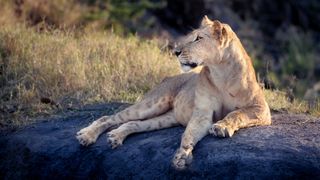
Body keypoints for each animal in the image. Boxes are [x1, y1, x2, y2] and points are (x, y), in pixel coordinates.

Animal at [76, 15, 272, 170]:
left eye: (198, 38)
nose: (175, 51)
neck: (221, 71)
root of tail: (167, 78)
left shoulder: (261, 109)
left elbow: (237, 114)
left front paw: (221, 127)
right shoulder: (202, 112)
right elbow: (188, 135)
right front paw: (182, 157)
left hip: (167, 118)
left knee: (133, 124)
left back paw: (115, 137)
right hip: (152, 104)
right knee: (108, 118)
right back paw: (86, 136)